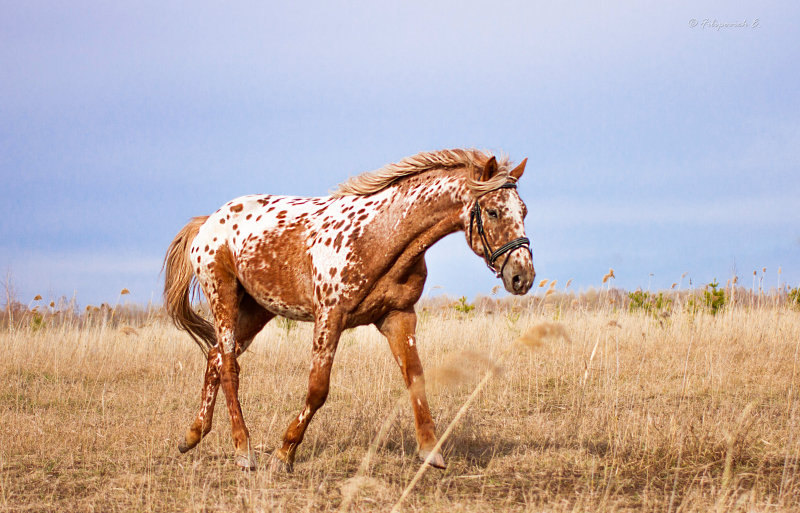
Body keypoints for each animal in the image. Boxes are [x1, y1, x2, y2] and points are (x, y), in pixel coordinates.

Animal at [162, 147, 536, 468]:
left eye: (524, 211)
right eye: (493, 211)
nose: (523, 277)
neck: (378, 237)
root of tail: (208, 221)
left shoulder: (399, 318)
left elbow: (415, 378)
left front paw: (431, 452)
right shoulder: (330, 317)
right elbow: (318, 389)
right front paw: (284, 454)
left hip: (257, 310)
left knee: (214, 357)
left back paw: (192, 436)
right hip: (223, 296)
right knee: (228, 367)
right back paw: (243, 451)